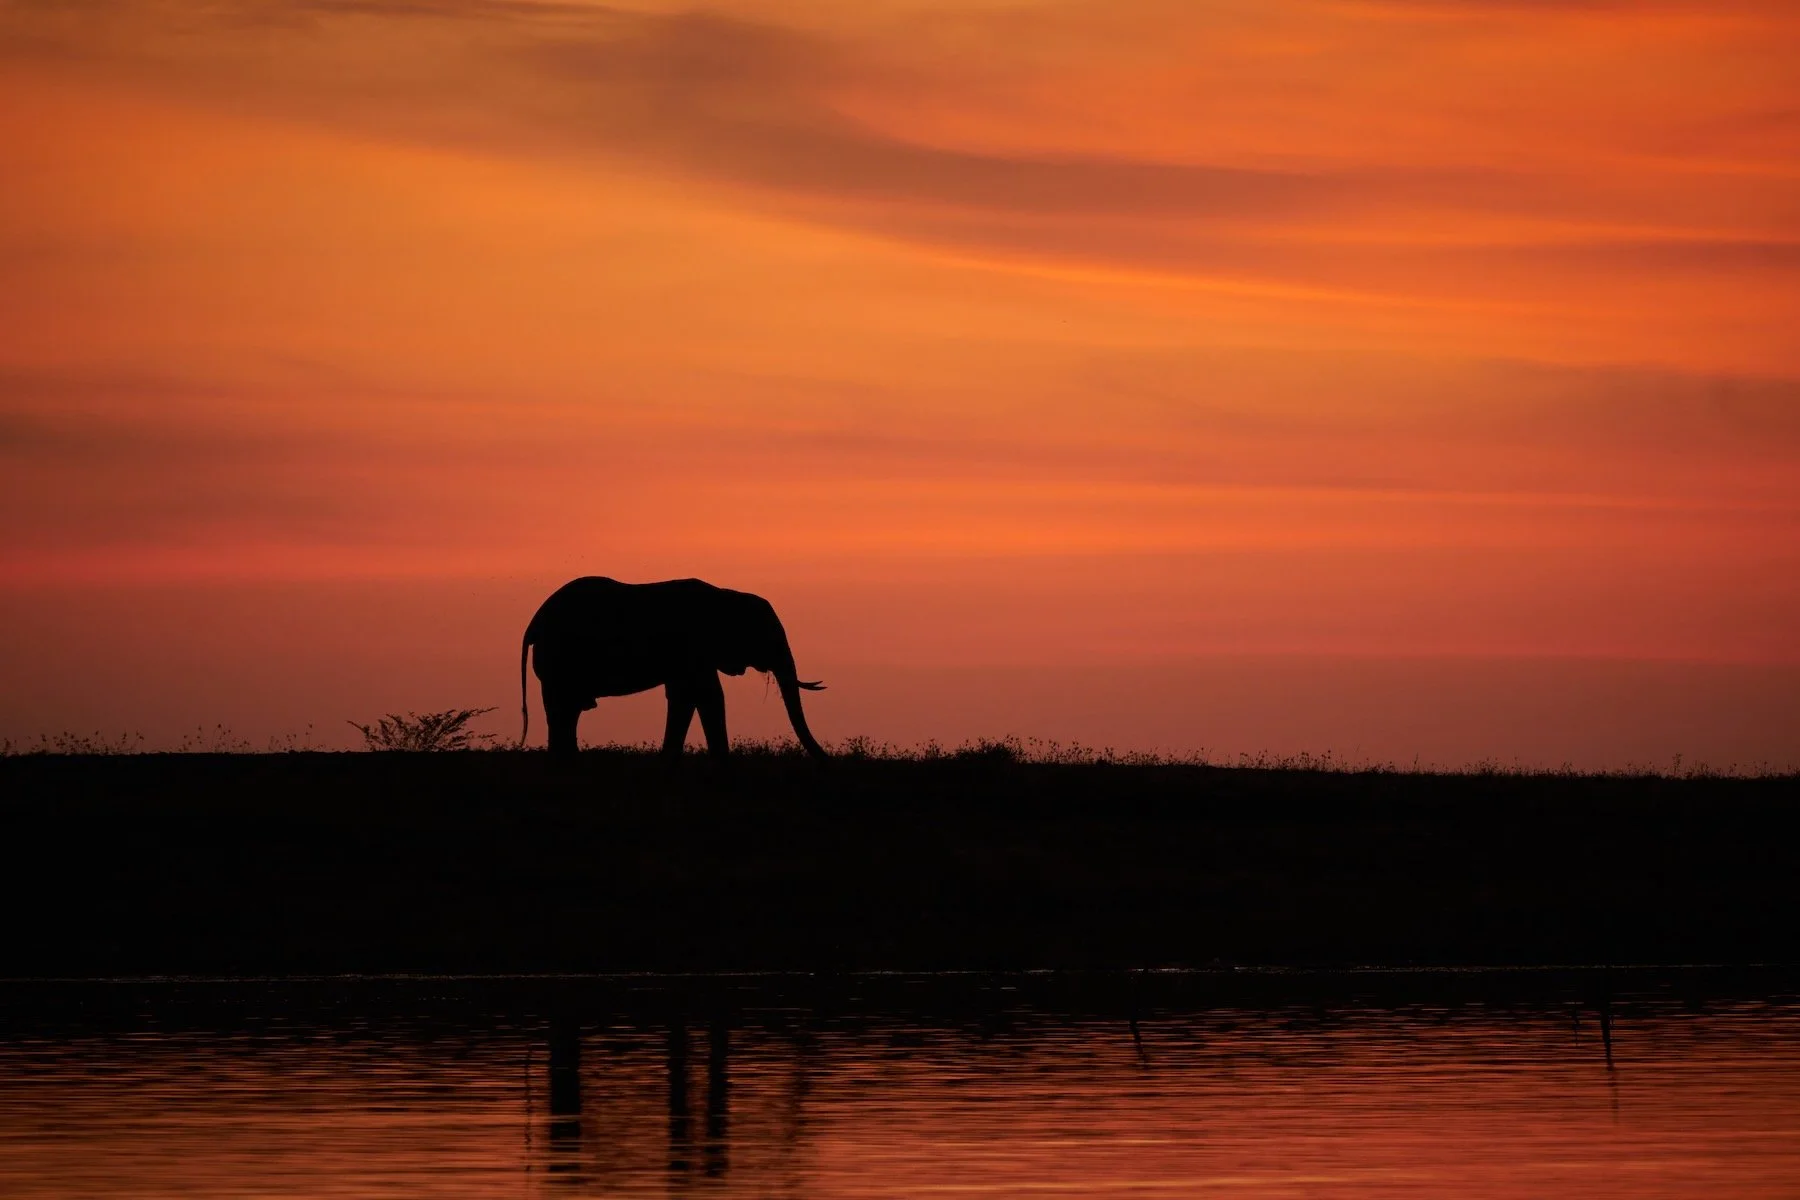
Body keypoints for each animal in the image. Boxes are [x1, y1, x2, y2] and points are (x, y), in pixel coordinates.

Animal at [519, 576, 828, 758]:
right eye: (767, 635)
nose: (826, 759)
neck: (726, 595)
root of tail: (533, 623)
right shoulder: (693, 646)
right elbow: (708, 695)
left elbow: (684, 697)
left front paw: (670, 758)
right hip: (560, 657)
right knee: (562, 708)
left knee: (565, 710)